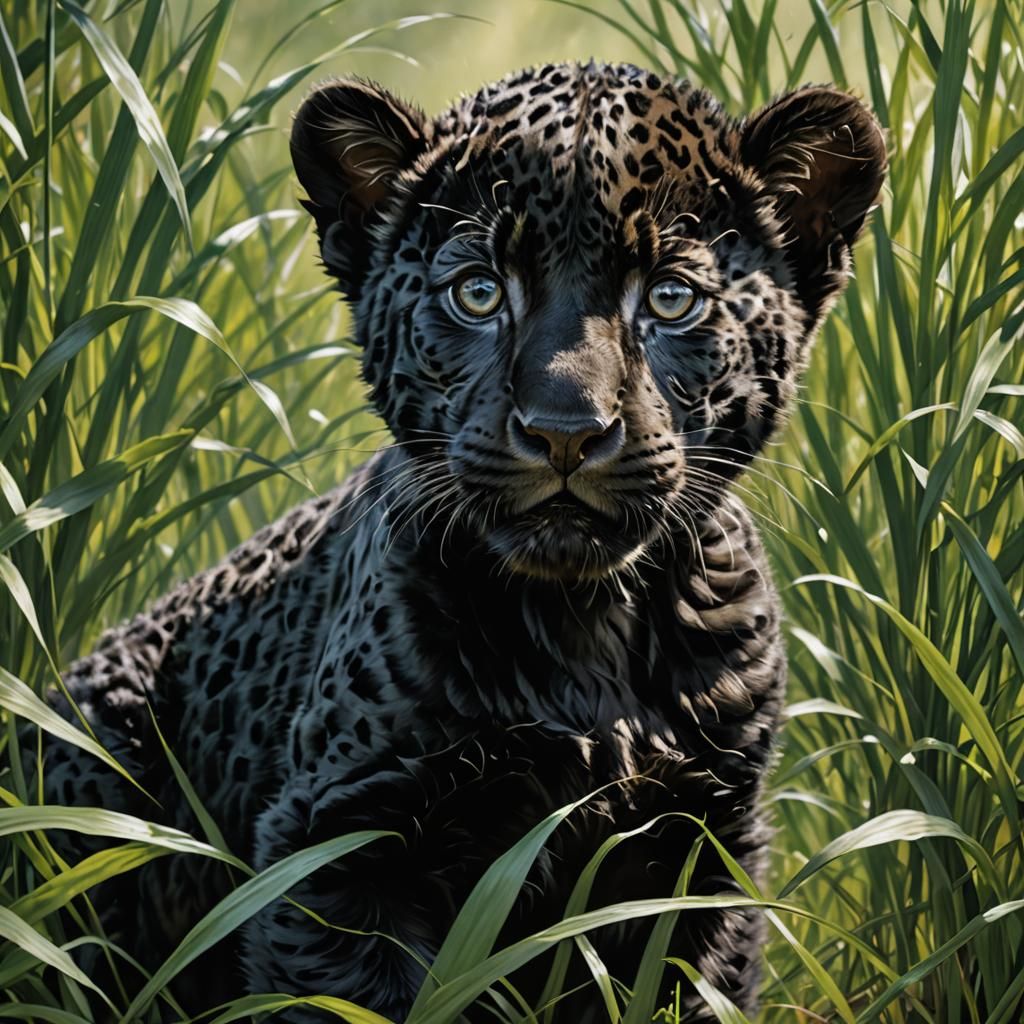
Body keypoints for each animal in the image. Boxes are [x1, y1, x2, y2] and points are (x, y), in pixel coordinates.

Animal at [38, 60, 885, 1021]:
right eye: (478, 292)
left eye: (671, 298)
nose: (564, 430)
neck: (586, 629)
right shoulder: (340, 845)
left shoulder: (707, 850)